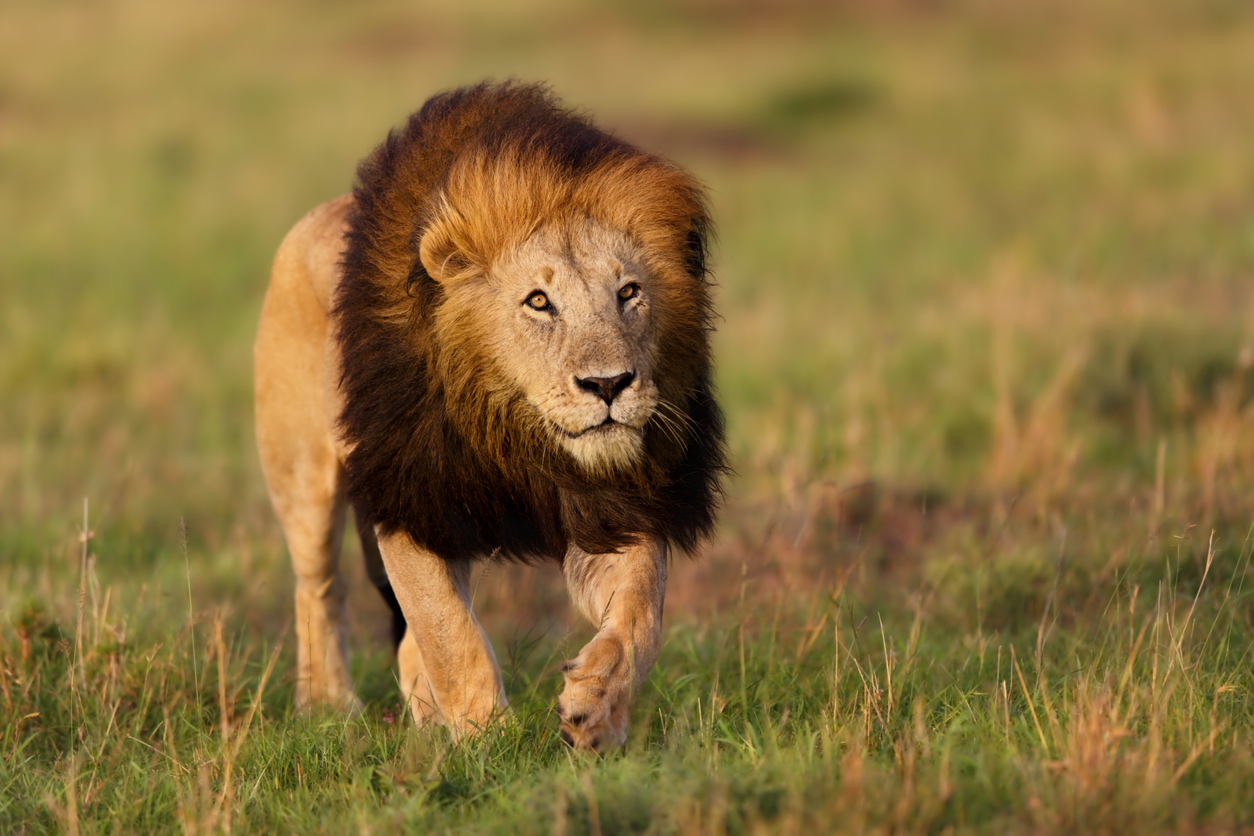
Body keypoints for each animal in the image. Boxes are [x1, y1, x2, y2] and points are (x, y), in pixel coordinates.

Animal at [254, 82, 726, 751]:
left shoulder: (616, 505)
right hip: (303, 478)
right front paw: (488, 740)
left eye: (629, 292)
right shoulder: (412, 498)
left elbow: (640, 616)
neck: (514, 430)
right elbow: (450, 635)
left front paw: (596, 710)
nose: (609, 384)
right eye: (539, 301)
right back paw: (330, 707)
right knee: (320, 590)